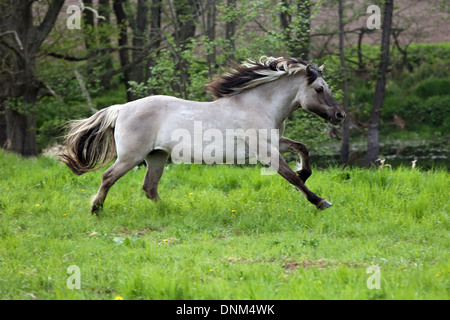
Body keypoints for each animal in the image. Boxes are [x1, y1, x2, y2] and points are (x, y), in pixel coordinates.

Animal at [60, 56, 344, 214]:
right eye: (320, 89)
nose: (340, 115)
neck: (259, 105)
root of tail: (121, 109)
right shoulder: (265, 151)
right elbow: (291, 178)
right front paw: (320, 201)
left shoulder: (275, 143)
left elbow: (302, 147)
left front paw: (304, 171)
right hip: (132, 156)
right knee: (108, 177)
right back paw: (96, 209)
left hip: (156, 157)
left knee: (149, 187)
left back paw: (170, 210)